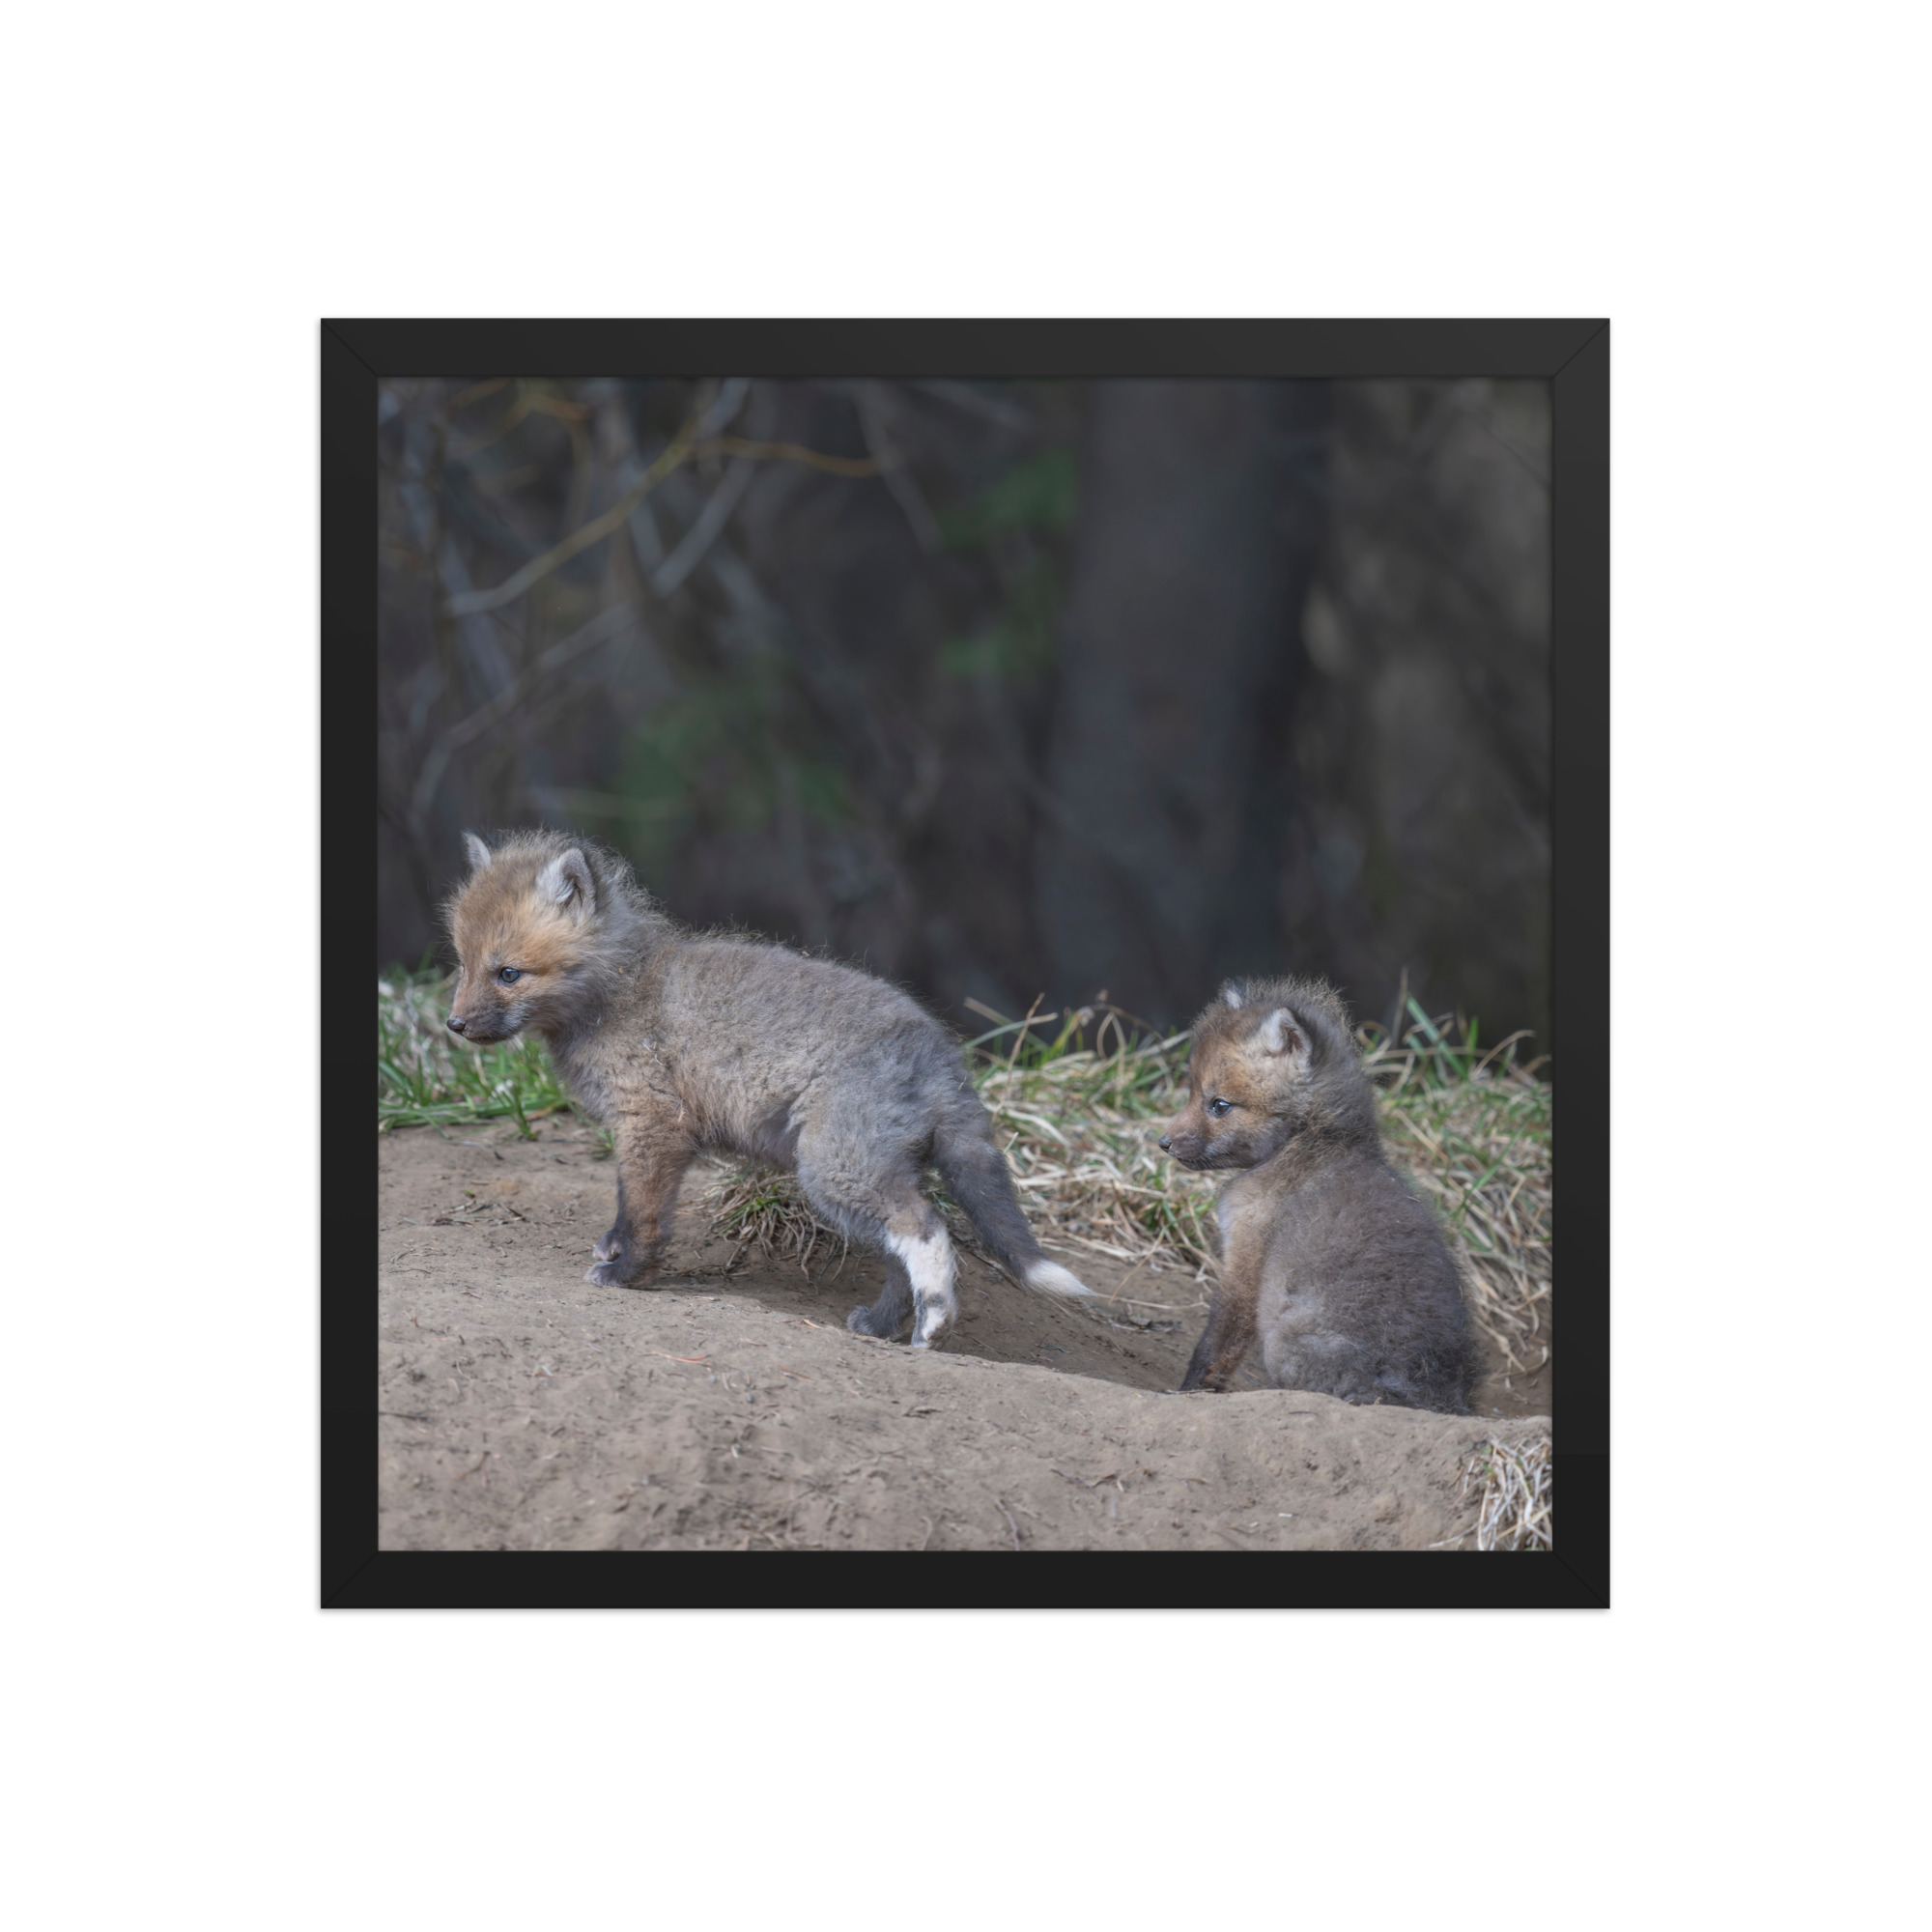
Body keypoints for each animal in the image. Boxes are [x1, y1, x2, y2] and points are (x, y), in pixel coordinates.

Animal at [442, 828, 1094, 1348]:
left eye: (509, 973)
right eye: (463, 964)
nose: (454, 1025)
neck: (619, 990)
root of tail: (942, 1055)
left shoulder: (653, 1123)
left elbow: (643, 1212)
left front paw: (627, 1274)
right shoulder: (648, 1131)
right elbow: (628, 1205)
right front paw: (616, 1251)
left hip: (835, 1170)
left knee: (926, 1228)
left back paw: (934, 1324)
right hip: (863, 1176)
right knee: (898, 1253)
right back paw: (883, 1326)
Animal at [1158, 976, 1472, 1413]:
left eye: (1219, 1105)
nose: (1163, 1143)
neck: (1310, 1142)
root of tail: (1431, 1396)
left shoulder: (1246, 1258)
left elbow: (1216, 1345)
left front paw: (1188, 1393)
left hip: (1282, 1343)